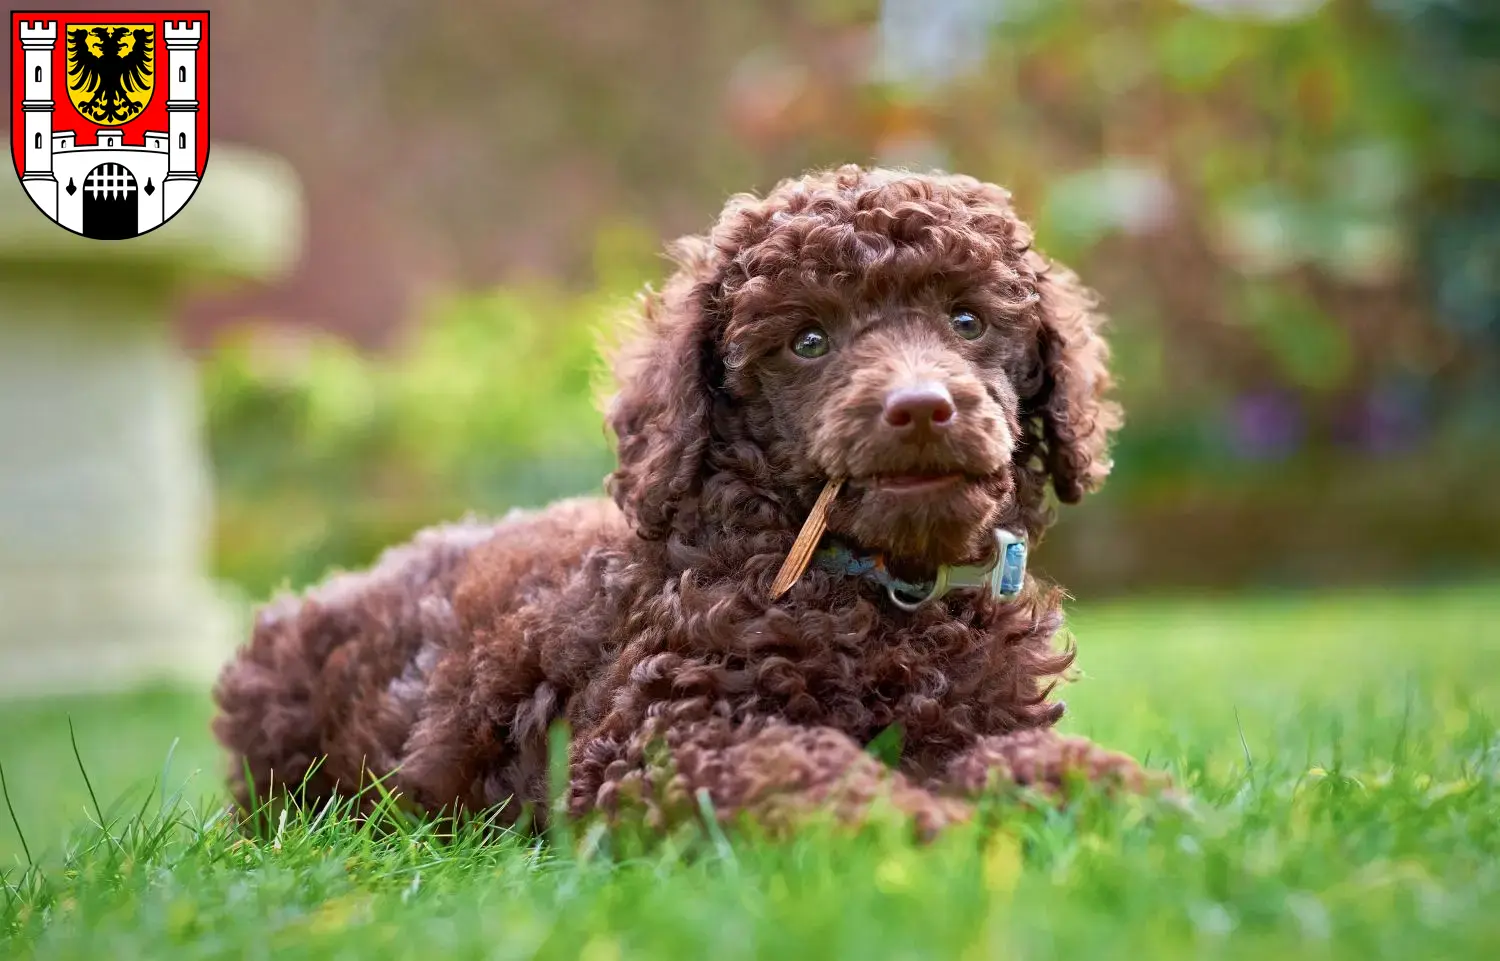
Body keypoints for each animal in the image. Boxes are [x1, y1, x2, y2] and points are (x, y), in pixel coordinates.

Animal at [211, 166, 1152, 839]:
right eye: (808, 341)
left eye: (966, 321)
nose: (921, 407)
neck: (884, 592)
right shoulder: (656, 741)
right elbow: (799, 766)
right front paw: (918, 826)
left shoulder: (978, 714)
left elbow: (1033, 753)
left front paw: (1126, 794)